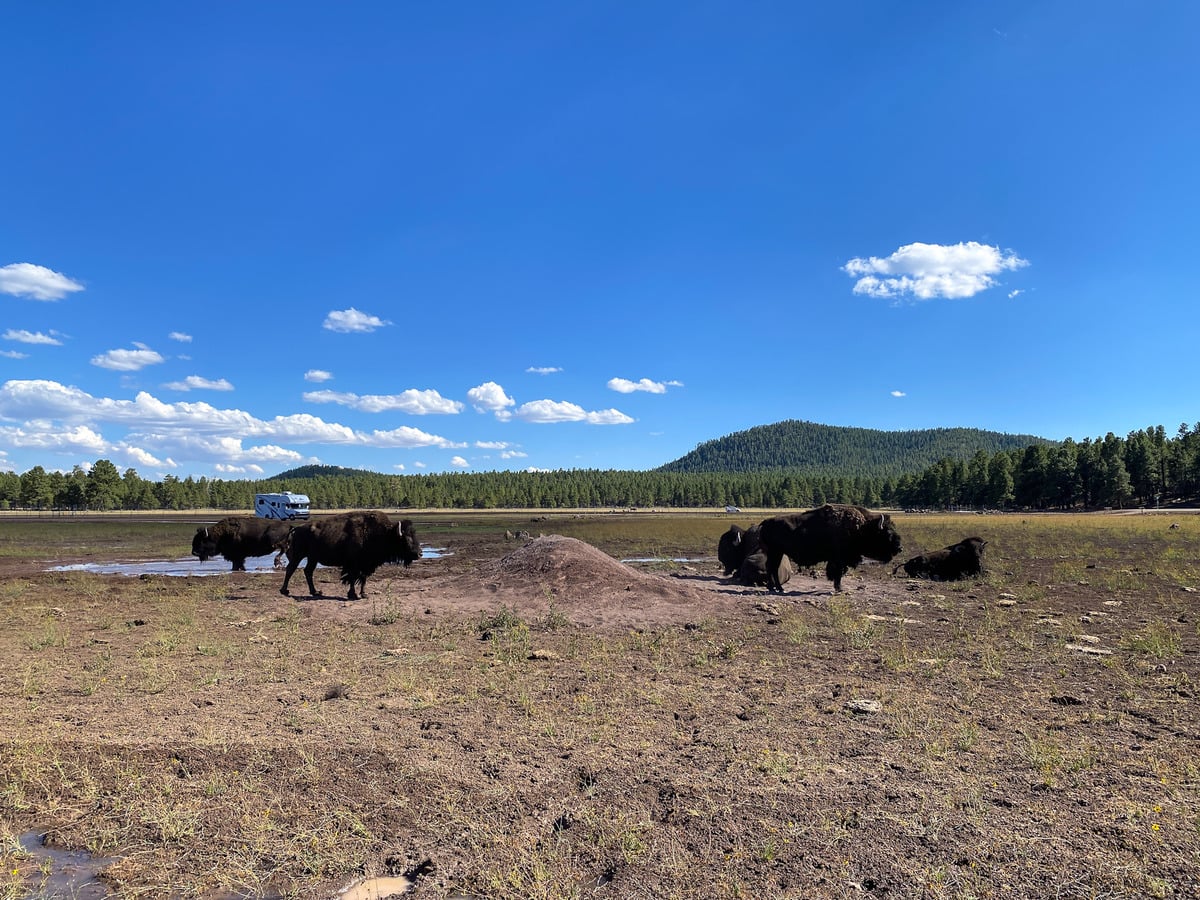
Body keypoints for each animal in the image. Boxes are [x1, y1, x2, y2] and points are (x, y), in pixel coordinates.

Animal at [277, 511, 422, 602]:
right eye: (407, 539)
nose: (420, 553)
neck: (383, 533)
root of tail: (296, 529)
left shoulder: (366, 565)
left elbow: (363, 579)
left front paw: (364, 594)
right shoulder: (353, 565)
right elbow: (352, 578)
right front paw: (353, 595)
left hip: (313, 558)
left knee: (308, 571)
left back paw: (315, 592)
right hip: (299, 555)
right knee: (291, 569)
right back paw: (285, 591)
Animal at [758, 504, 902, 595]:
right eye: (888, 533)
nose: (899, 548)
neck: (862, 527)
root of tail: (765, 522)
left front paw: (838, 588)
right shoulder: (839, 560)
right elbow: (838, 574)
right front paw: (839, 589)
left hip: (777, 552)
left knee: (772, 567)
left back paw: (776, 588)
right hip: (775, 552)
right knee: (772, 567)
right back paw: (777, 588)